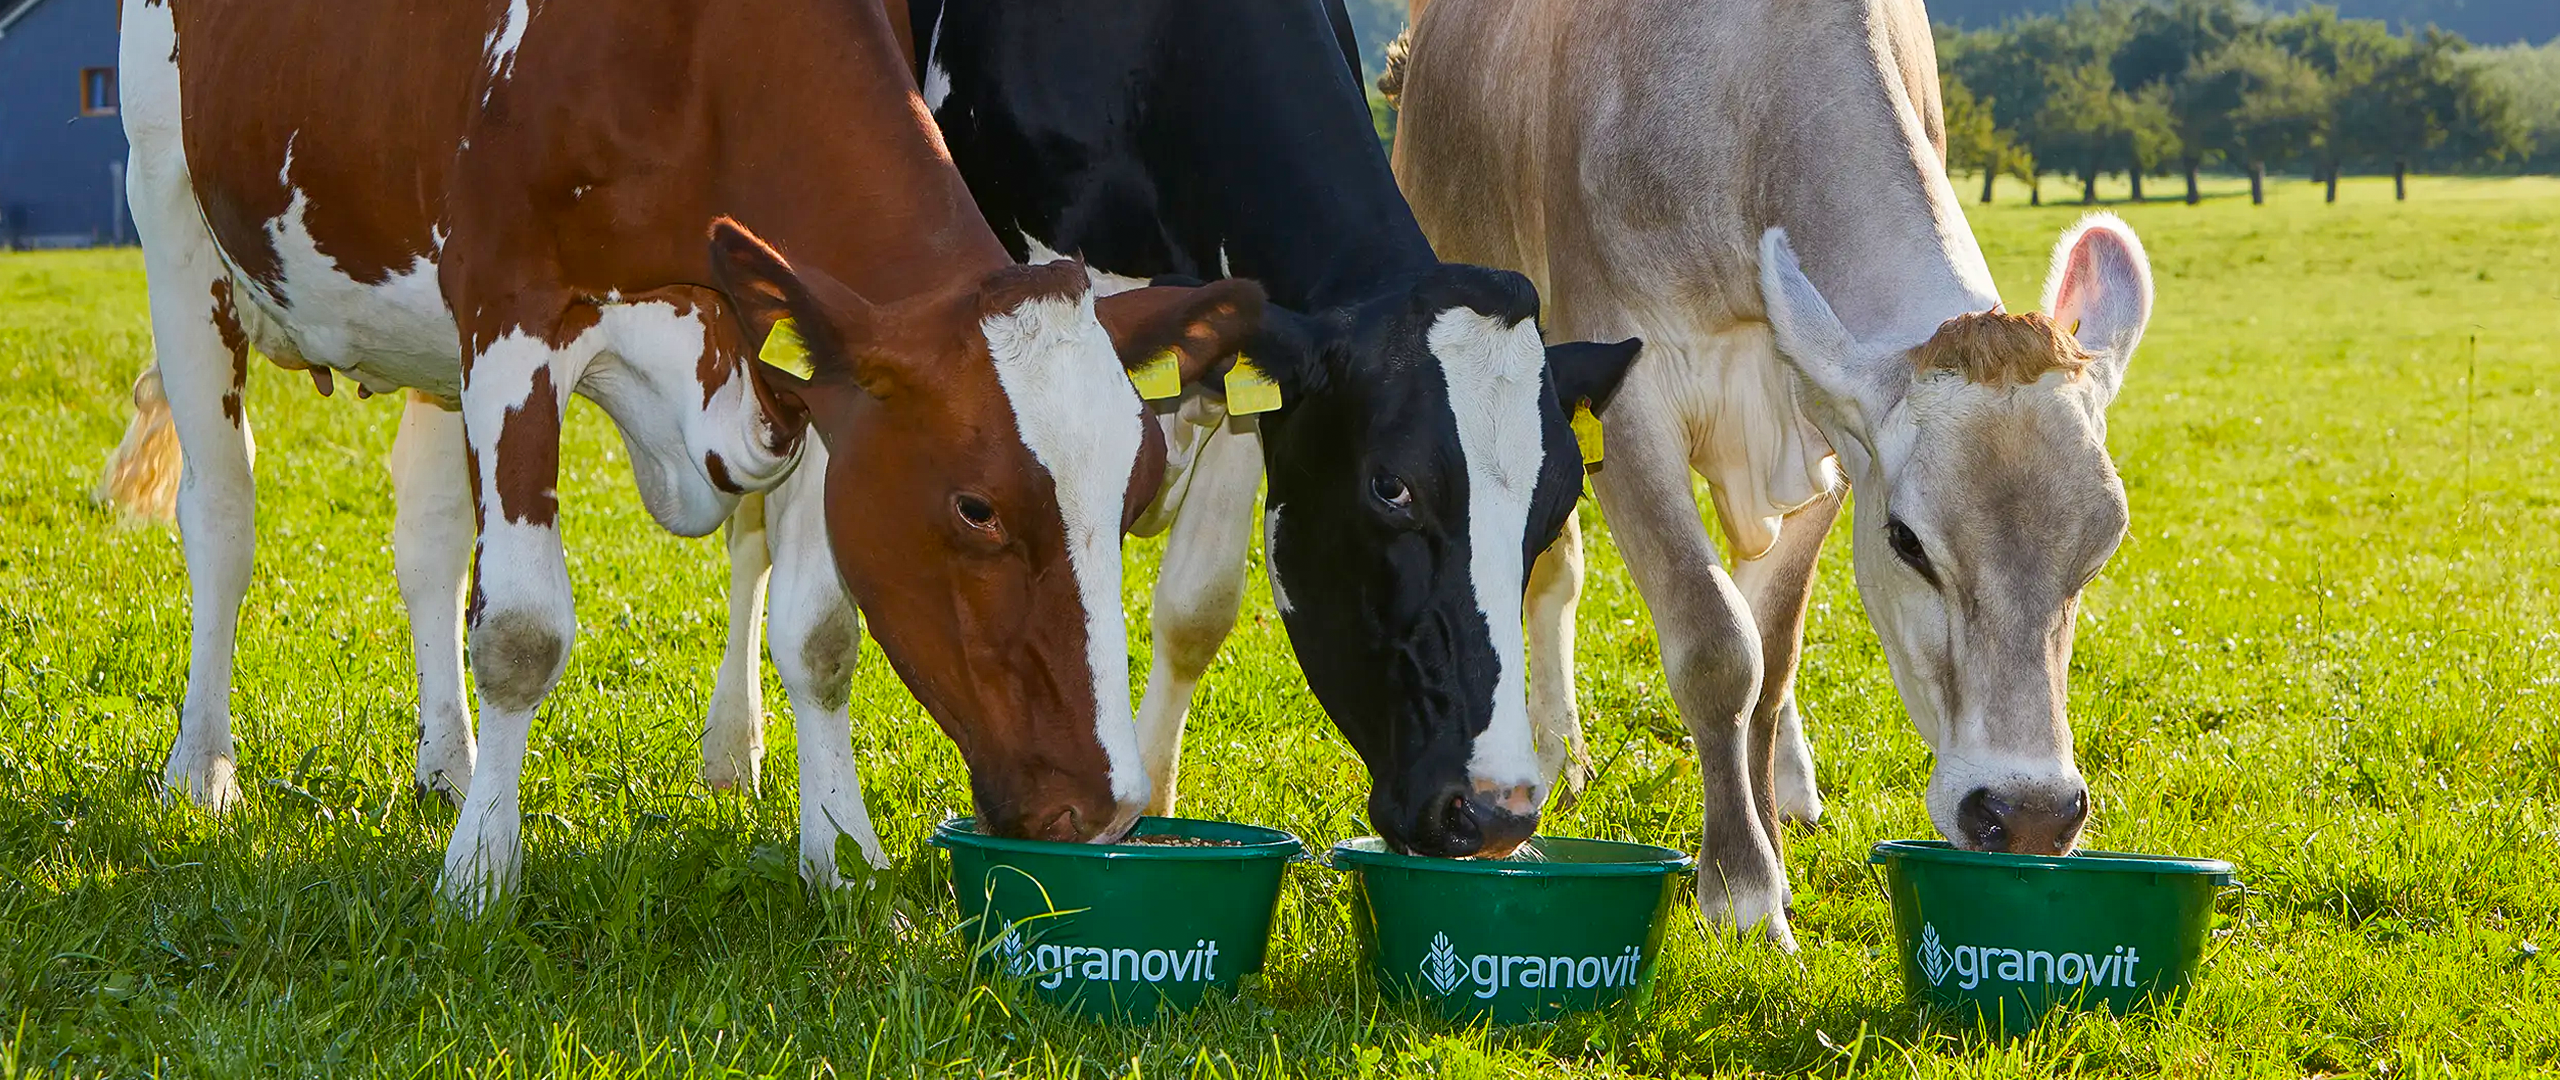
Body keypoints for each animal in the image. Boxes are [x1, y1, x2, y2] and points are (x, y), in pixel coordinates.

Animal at [102, 0, 1259, 911]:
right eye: (976, 507)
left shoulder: (812, 381)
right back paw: (202, 767)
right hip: (175, 224)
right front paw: (480, 876)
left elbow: (821, 634)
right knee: (223, 519)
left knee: (426, 540)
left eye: (1136, 497)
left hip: (419, 335)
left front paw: (841, 855)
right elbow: (521, 630)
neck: (698, 69)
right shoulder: (511, 313)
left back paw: (449, 762)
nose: (1105, 809)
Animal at [696, 0, 1638, 859]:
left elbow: (1197, 607)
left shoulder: (1237, 384)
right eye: (1391, 486)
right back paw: (731, 749)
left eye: (1557, 507)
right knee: (752, 536)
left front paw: (1154, 798)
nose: (1496, 812)